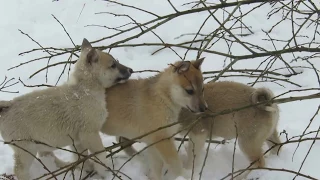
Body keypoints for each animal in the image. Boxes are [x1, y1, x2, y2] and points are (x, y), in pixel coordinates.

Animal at [0, 38, 132, 179]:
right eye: (113, 65)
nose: (131, 70)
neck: (85, 89)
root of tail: (6, 107)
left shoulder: (78, 140)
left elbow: (82, 156)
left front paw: (86, 168)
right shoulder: (90, 134)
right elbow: (101, 156)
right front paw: (104, 173)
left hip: (42, 143)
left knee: (47, 156)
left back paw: (63, 166)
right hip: (26, 149)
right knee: (20, 170)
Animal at [119, 81, 282, 179]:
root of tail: (268, 102)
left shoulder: (198, 134)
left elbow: (192, 156)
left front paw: (189, 170)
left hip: (247, 142)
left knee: (259, 163)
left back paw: (240, 176)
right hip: (269, 137)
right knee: (276, 148)